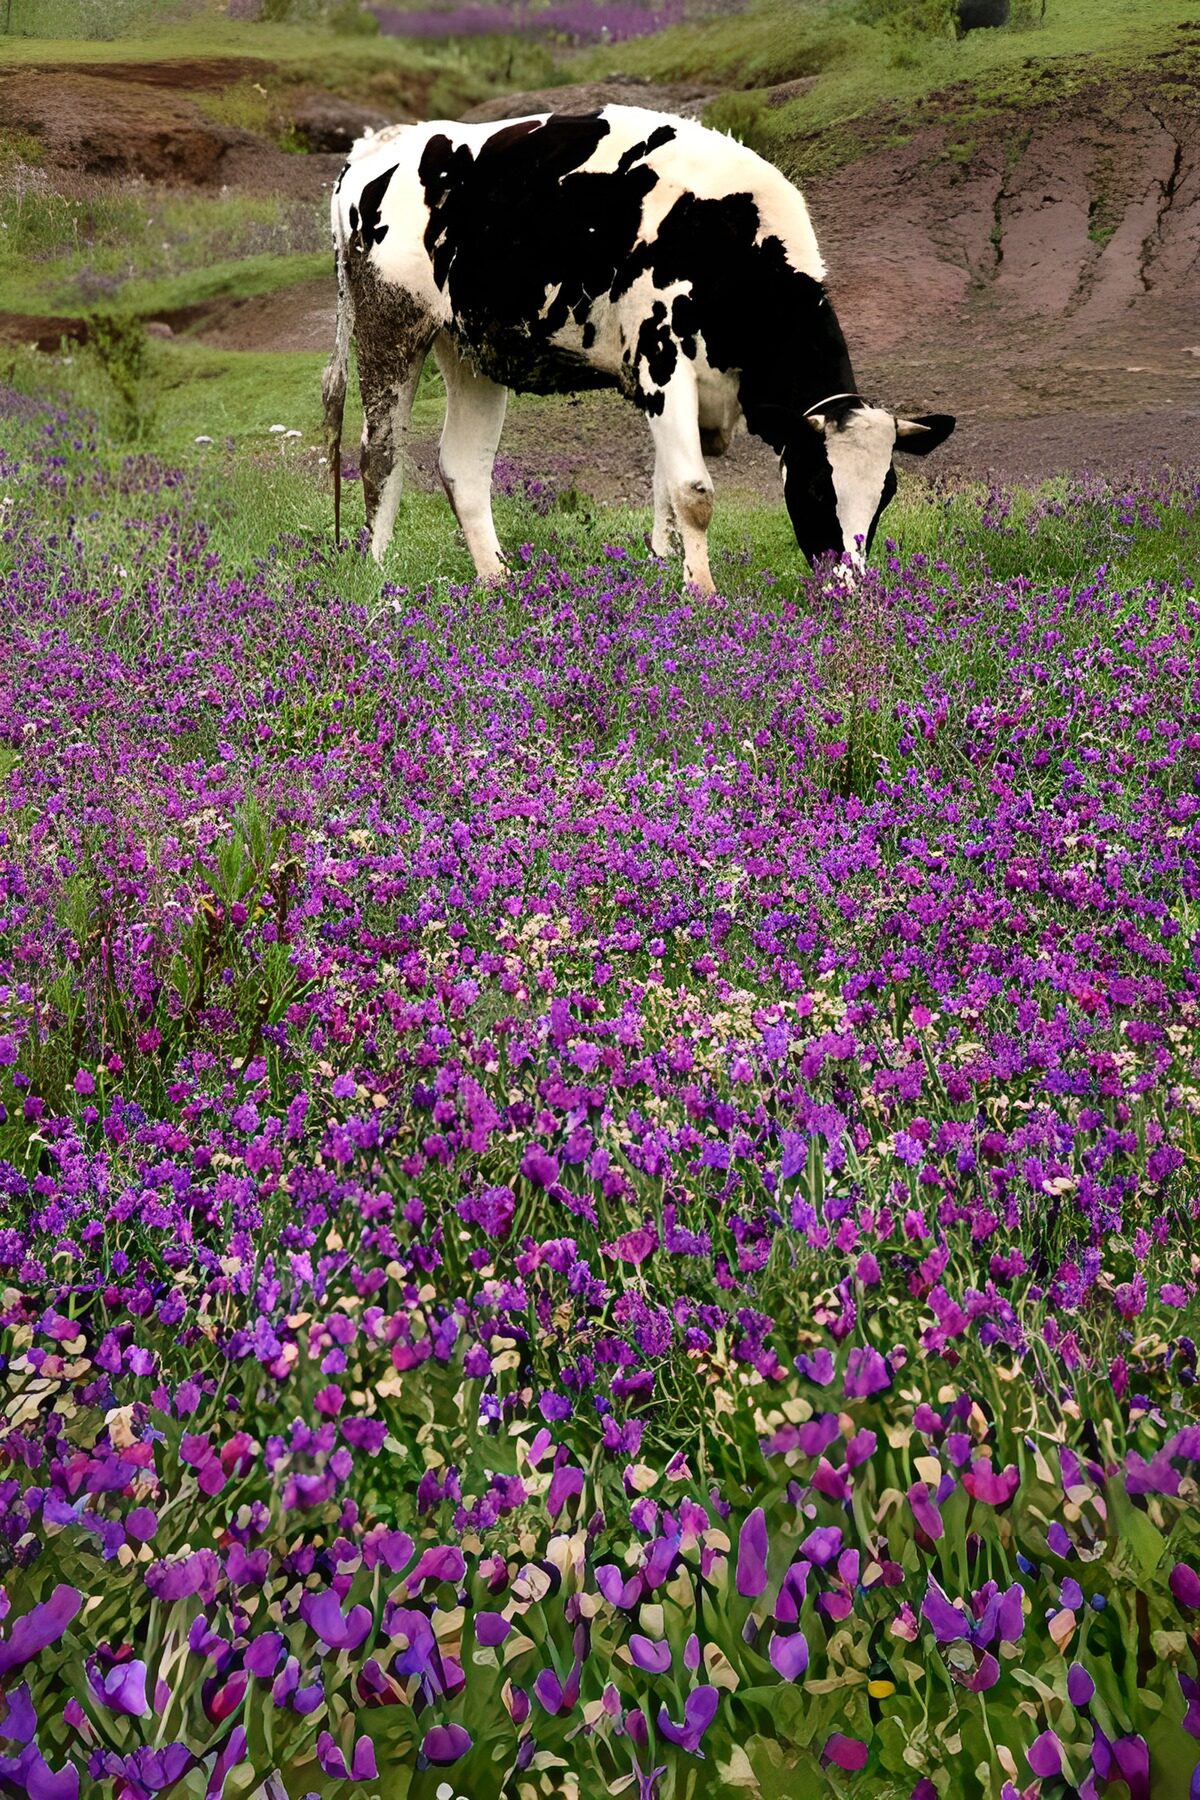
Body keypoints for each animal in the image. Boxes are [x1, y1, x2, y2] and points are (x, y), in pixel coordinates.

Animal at [323, 106, 955, 593]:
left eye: (887, 494)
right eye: (817, 485)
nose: (849, 588)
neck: (728, 242)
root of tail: (380, 144)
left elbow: (666, 488)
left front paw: (665, 568)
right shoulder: (662, 361)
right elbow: (693, 491)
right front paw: (703, 593)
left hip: (472, 349)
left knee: (463, 467)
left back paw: (497, 579)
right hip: (390, 324)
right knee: (379, 454)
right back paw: (380, 576)